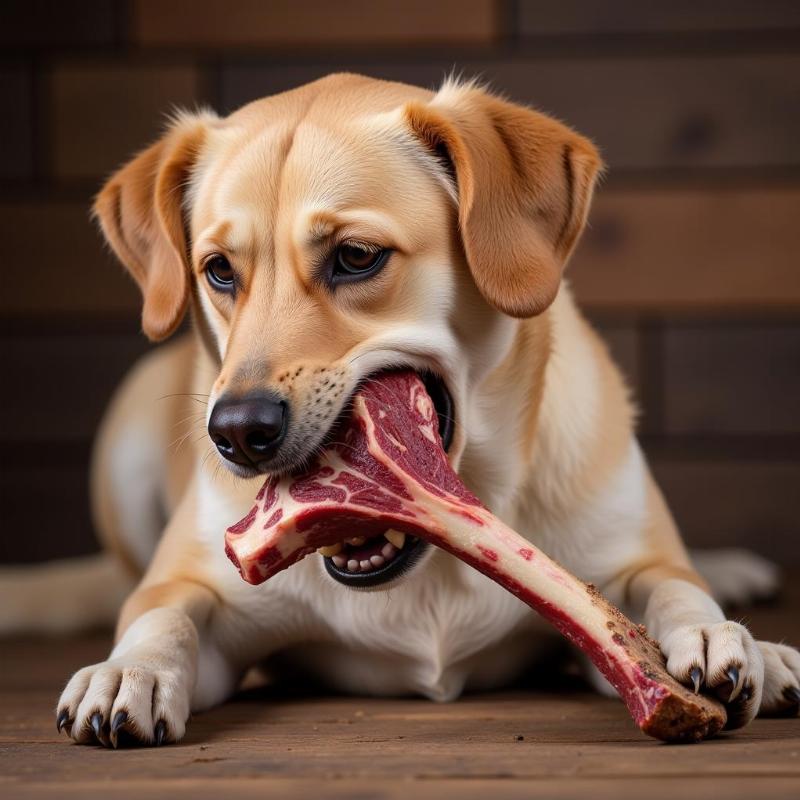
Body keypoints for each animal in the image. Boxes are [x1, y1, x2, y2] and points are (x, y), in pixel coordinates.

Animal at [7, 72, 800, 748]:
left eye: (357, 256)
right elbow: (162, 614)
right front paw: (128, 670)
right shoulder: (207, 606)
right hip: (125, 442)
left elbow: (668, 586)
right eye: (219, 270)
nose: (237, 433)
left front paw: (714, 635)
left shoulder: (618, 570)